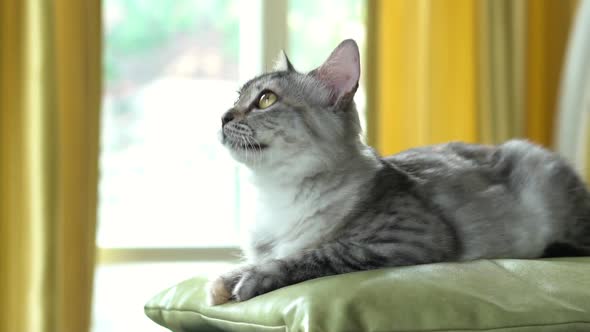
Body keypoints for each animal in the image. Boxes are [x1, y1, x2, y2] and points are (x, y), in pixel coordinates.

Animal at [208, 39, 590, 306]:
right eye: (237, 98)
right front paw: (224, 282)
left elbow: (311, 254)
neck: (273, 195)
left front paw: (253, 279)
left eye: (266, 100)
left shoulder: (408, 236)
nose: (223, 117)